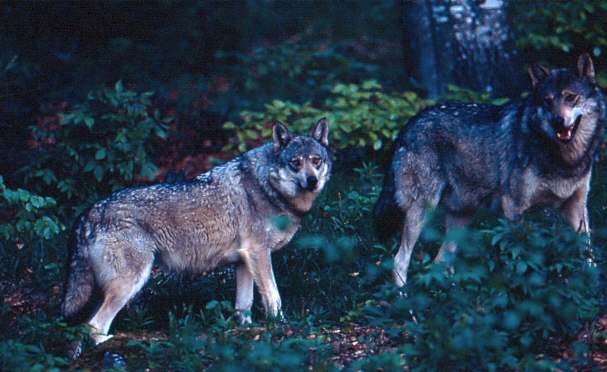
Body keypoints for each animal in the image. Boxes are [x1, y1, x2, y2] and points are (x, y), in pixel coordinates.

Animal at [60, 118, 332, 342]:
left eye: (316, 161)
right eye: (295, 163)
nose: (312, 181)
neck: (268, 186)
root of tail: (89, 211)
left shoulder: (244, 261)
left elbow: (243, 306)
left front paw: (245, 331)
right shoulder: (259, 253)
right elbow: (274, 298)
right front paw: (283, 327)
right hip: (131, 282)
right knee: (95, 327)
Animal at [376, 54, 604, 288]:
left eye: (571, 97)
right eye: (547, 101)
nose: (558, 122)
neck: (566, 160)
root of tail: (408, 124)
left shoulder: (577, 207)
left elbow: (588, 255)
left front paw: (592, 287)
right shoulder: (514, 207)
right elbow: (522, 256)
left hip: (461, 218)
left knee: (440, 261)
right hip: (424, 209)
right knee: (399, 260)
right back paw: (405, 296)